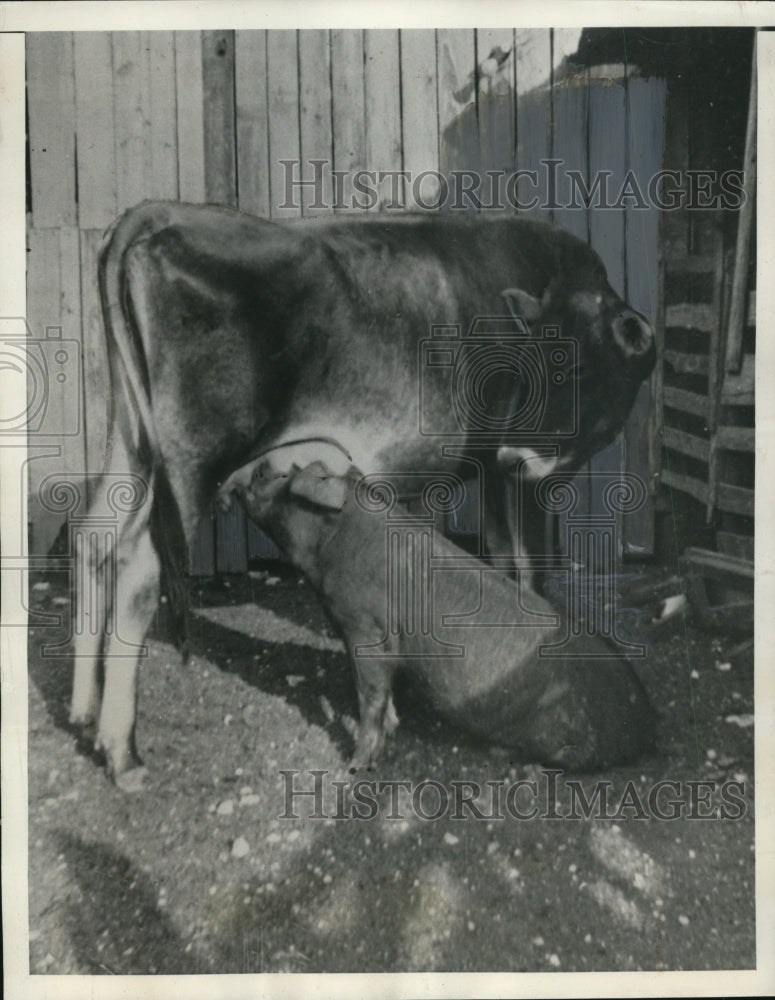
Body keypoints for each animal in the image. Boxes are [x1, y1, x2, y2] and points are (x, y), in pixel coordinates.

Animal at [219, 456, 655, 771]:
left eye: (285, 477)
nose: (258, 465)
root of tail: (646, 724)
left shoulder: (366, 629)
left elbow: (369, 696)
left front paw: (355, 767)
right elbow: (383, 693)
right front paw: (393, 727)